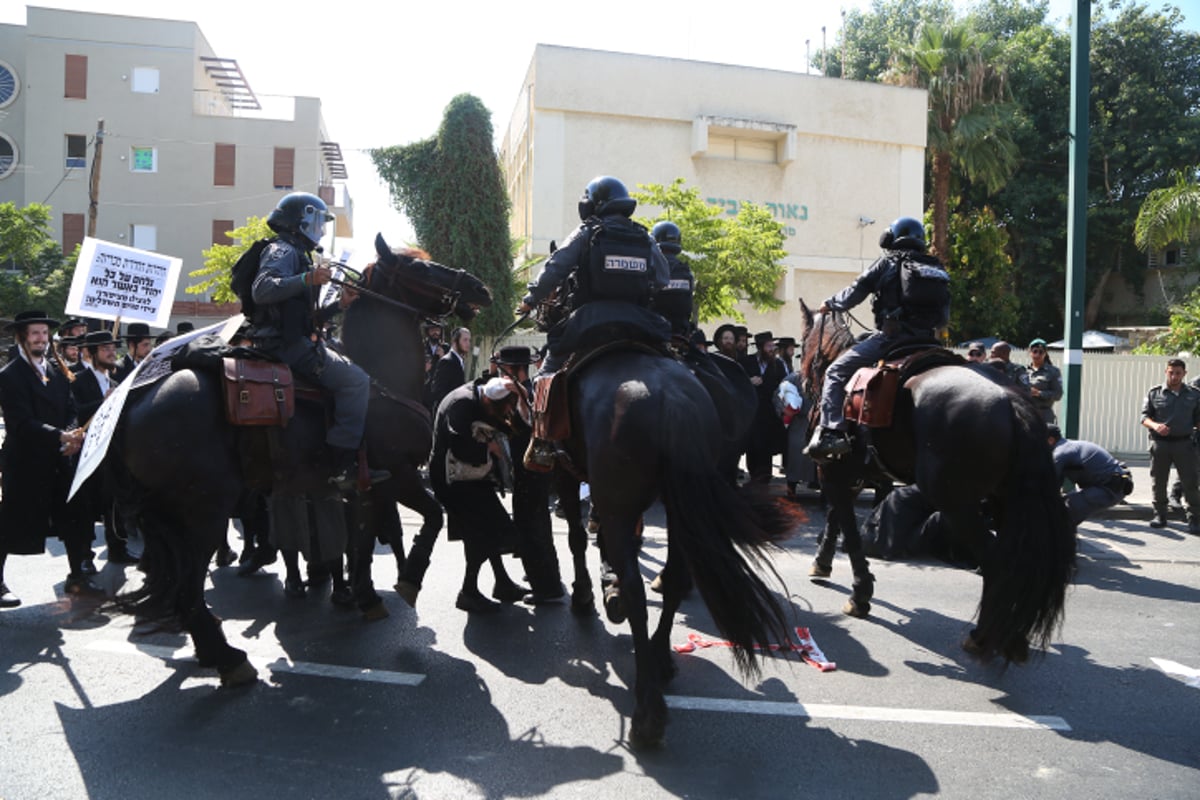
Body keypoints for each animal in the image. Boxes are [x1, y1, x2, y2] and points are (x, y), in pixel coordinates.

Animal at [109, 235, 492, 686]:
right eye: (420, 269)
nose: (479, 287)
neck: (381, 381)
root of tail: (134, 399)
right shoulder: (399, 475)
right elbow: (432, 517)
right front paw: (409, 579)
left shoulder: (371, 486)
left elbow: (364, 540)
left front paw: (365, 595)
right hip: (204, 513)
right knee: (190, 592)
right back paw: (230, 659)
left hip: (169, 517)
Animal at [547, 345, 796, 753]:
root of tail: (673, 400)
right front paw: (608, 586)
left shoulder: (567, 473)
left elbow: (577, 537)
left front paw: (587, 594)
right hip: (682, 508)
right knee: (677, 577)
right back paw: (661, 656)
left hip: (624, 502)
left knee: (636, 589)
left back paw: (647, 713)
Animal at [796, 299, 1080, 662]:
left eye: (802, 346)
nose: (805, 383)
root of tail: (1011, 401)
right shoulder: (852, 474)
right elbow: (837, 517)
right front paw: (822, 564)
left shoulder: (833, 470)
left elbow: (847, 524)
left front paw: (859, 594)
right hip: (1006, 501)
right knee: (1018, 561)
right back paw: (1012, 637)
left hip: (956, 503)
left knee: (995, 560)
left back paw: (983, 637)